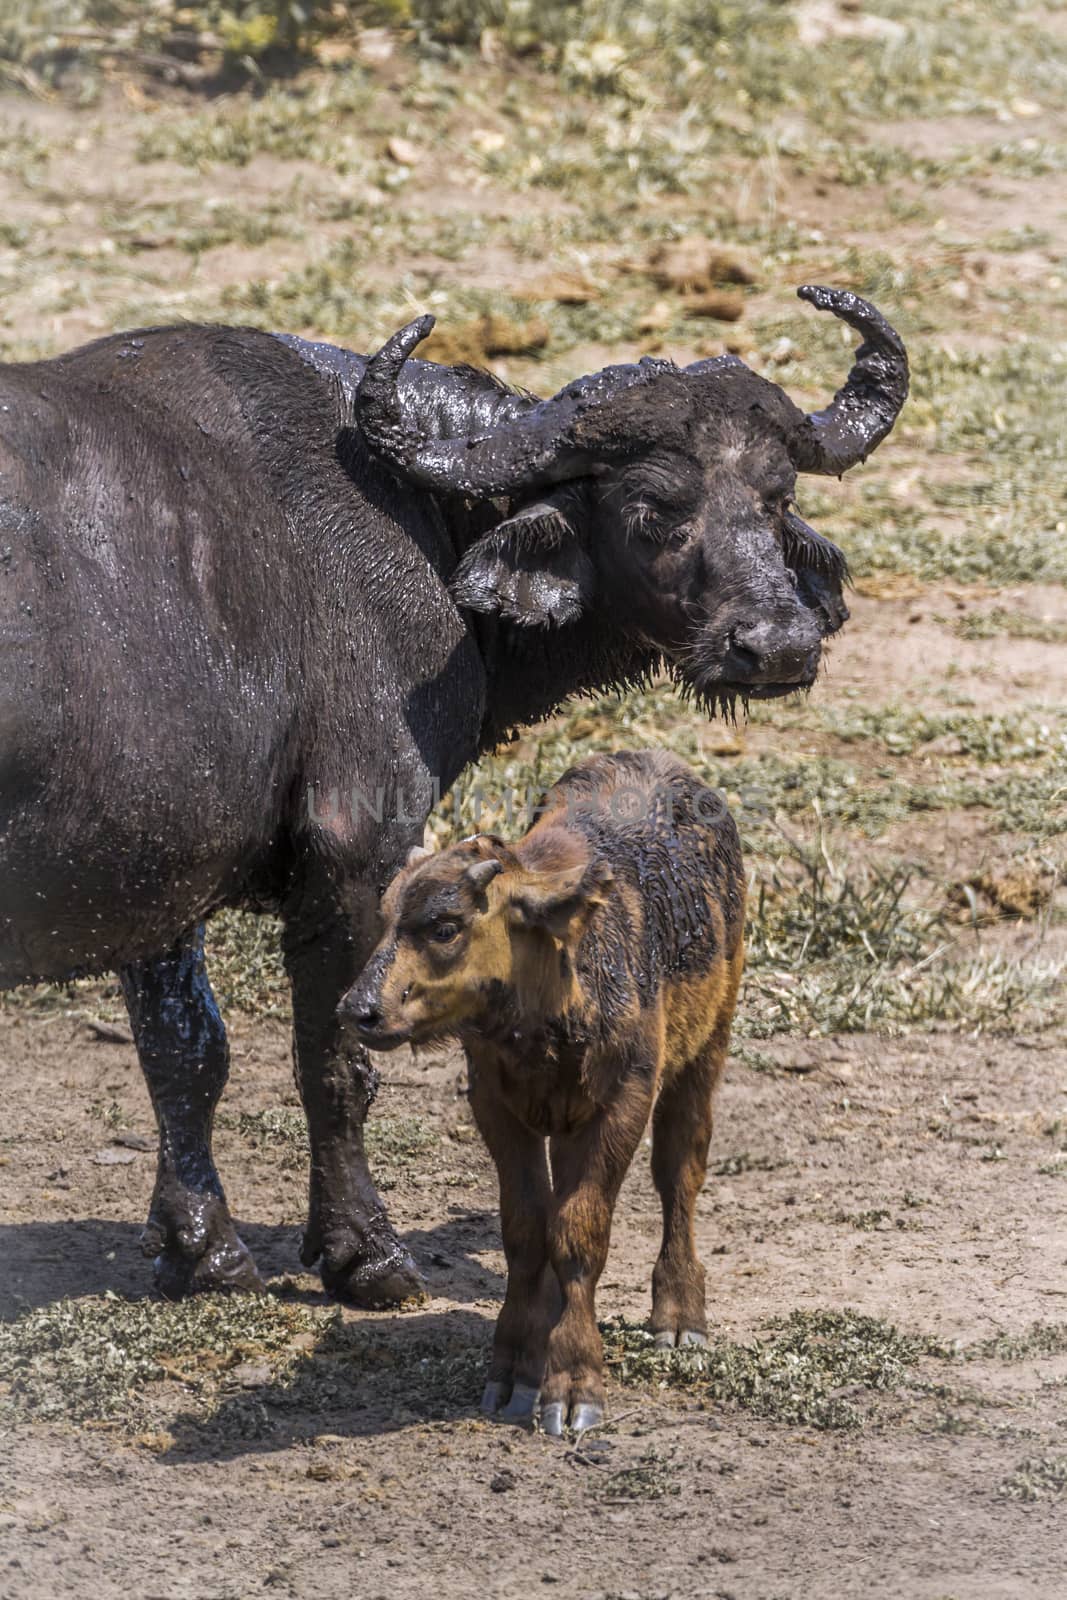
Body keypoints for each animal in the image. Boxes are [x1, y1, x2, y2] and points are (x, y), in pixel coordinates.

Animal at [0, 288, 908, 1305]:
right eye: (650, 508)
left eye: (776, 496)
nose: (778, 644)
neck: (411, 517)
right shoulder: (356, 849)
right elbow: (336, 1059)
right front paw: (366, 1253)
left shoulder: (161, 868)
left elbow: (185, 1054)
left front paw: (203, 1251)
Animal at [342, 748, 742, 1440]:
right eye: (386, 918)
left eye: (444, 926)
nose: (358, 1009)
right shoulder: (498, 1106)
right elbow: (528, 1227)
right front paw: (516, 1367)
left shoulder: (622, 1101)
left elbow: (581, 1231)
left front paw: (574, 1381)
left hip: (706, 1050)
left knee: (679, 1176)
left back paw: (680, 1315)